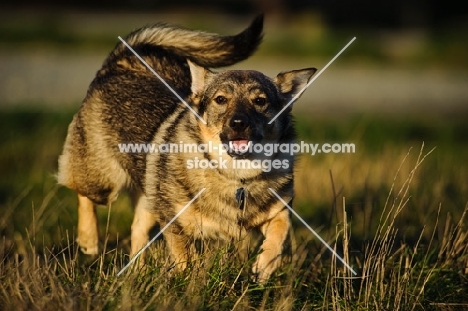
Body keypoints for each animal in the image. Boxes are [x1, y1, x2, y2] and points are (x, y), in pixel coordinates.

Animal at [56, 15, 316, 282]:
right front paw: (186, 281)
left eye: (260, 101)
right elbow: (185, 259)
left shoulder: (280, 211)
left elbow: (279, 236)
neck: (236, 176)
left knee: (138, 232)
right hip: (104, 181)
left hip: (149, 199)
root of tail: (120, 61)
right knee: (81, 191)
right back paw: (88, 239)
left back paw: (137, 273)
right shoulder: (174, 222)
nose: (238, 123)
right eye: (220, 99)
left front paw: (263, 268)